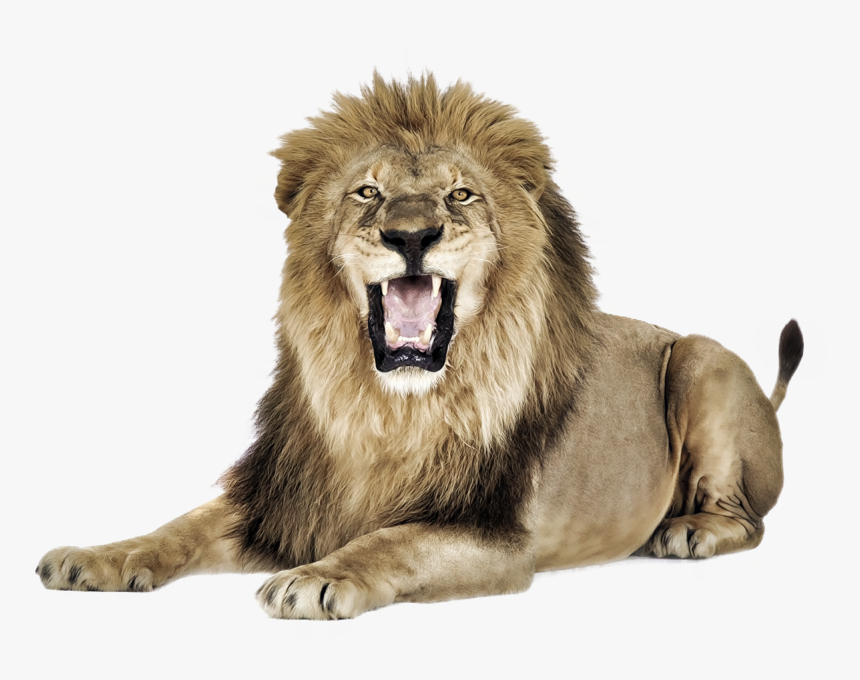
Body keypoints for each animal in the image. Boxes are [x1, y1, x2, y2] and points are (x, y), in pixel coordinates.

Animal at [37, 74, 803, 619]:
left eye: (460, 195)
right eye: (366, 193)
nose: (410, 235)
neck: (386, 408)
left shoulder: (494, 535)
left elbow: (392, 539)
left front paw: (318, 577)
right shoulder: (283, 497)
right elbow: (179, 526)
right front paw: (94, 558)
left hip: (702, 359)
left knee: (751, 519)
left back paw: (687, 531)